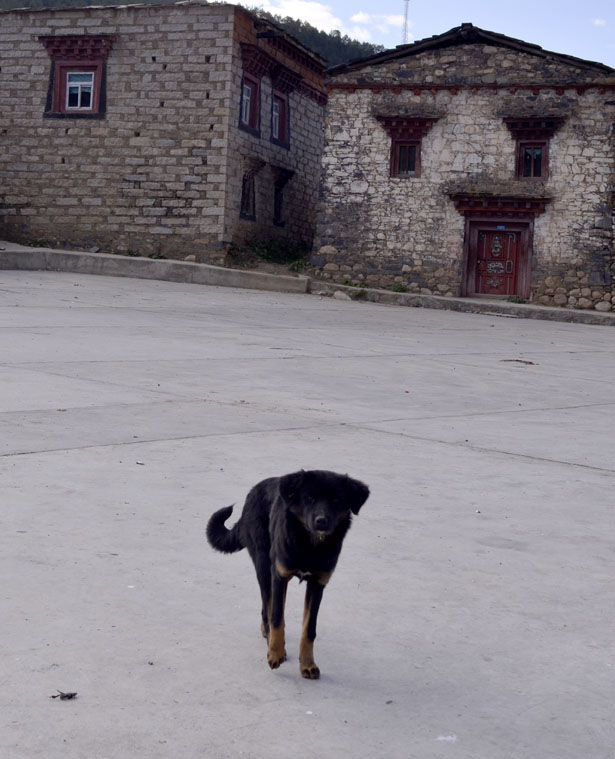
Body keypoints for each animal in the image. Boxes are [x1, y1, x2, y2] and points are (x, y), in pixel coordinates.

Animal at [209, 472, 368, 680]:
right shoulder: (279, 575)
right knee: (267, 609)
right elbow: (277, 617)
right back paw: (272, 642)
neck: (311, 545)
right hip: (264, 566)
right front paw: (275, 653)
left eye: (336, 500)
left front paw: (307, 664)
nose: (321, 521)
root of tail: (251, 494)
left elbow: (309, 629)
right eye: (309, 498)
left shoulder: (318, 584)